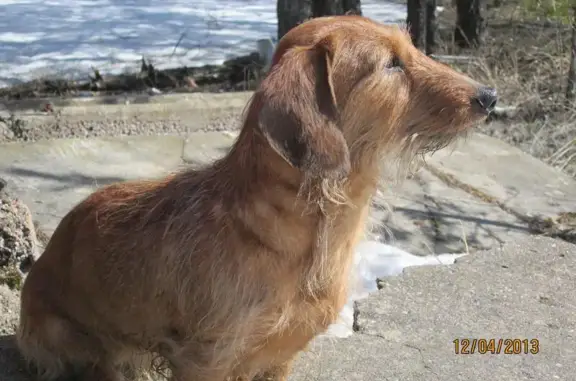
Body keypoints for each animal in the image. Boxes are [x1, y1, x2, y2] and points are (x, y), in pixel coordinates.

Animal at [15, 14, 498, 380]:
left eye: (411, 50)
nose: (490, 96)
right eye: (391, 64)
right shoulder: (205, 360)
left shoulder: (278, 359)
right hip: (82, 345)